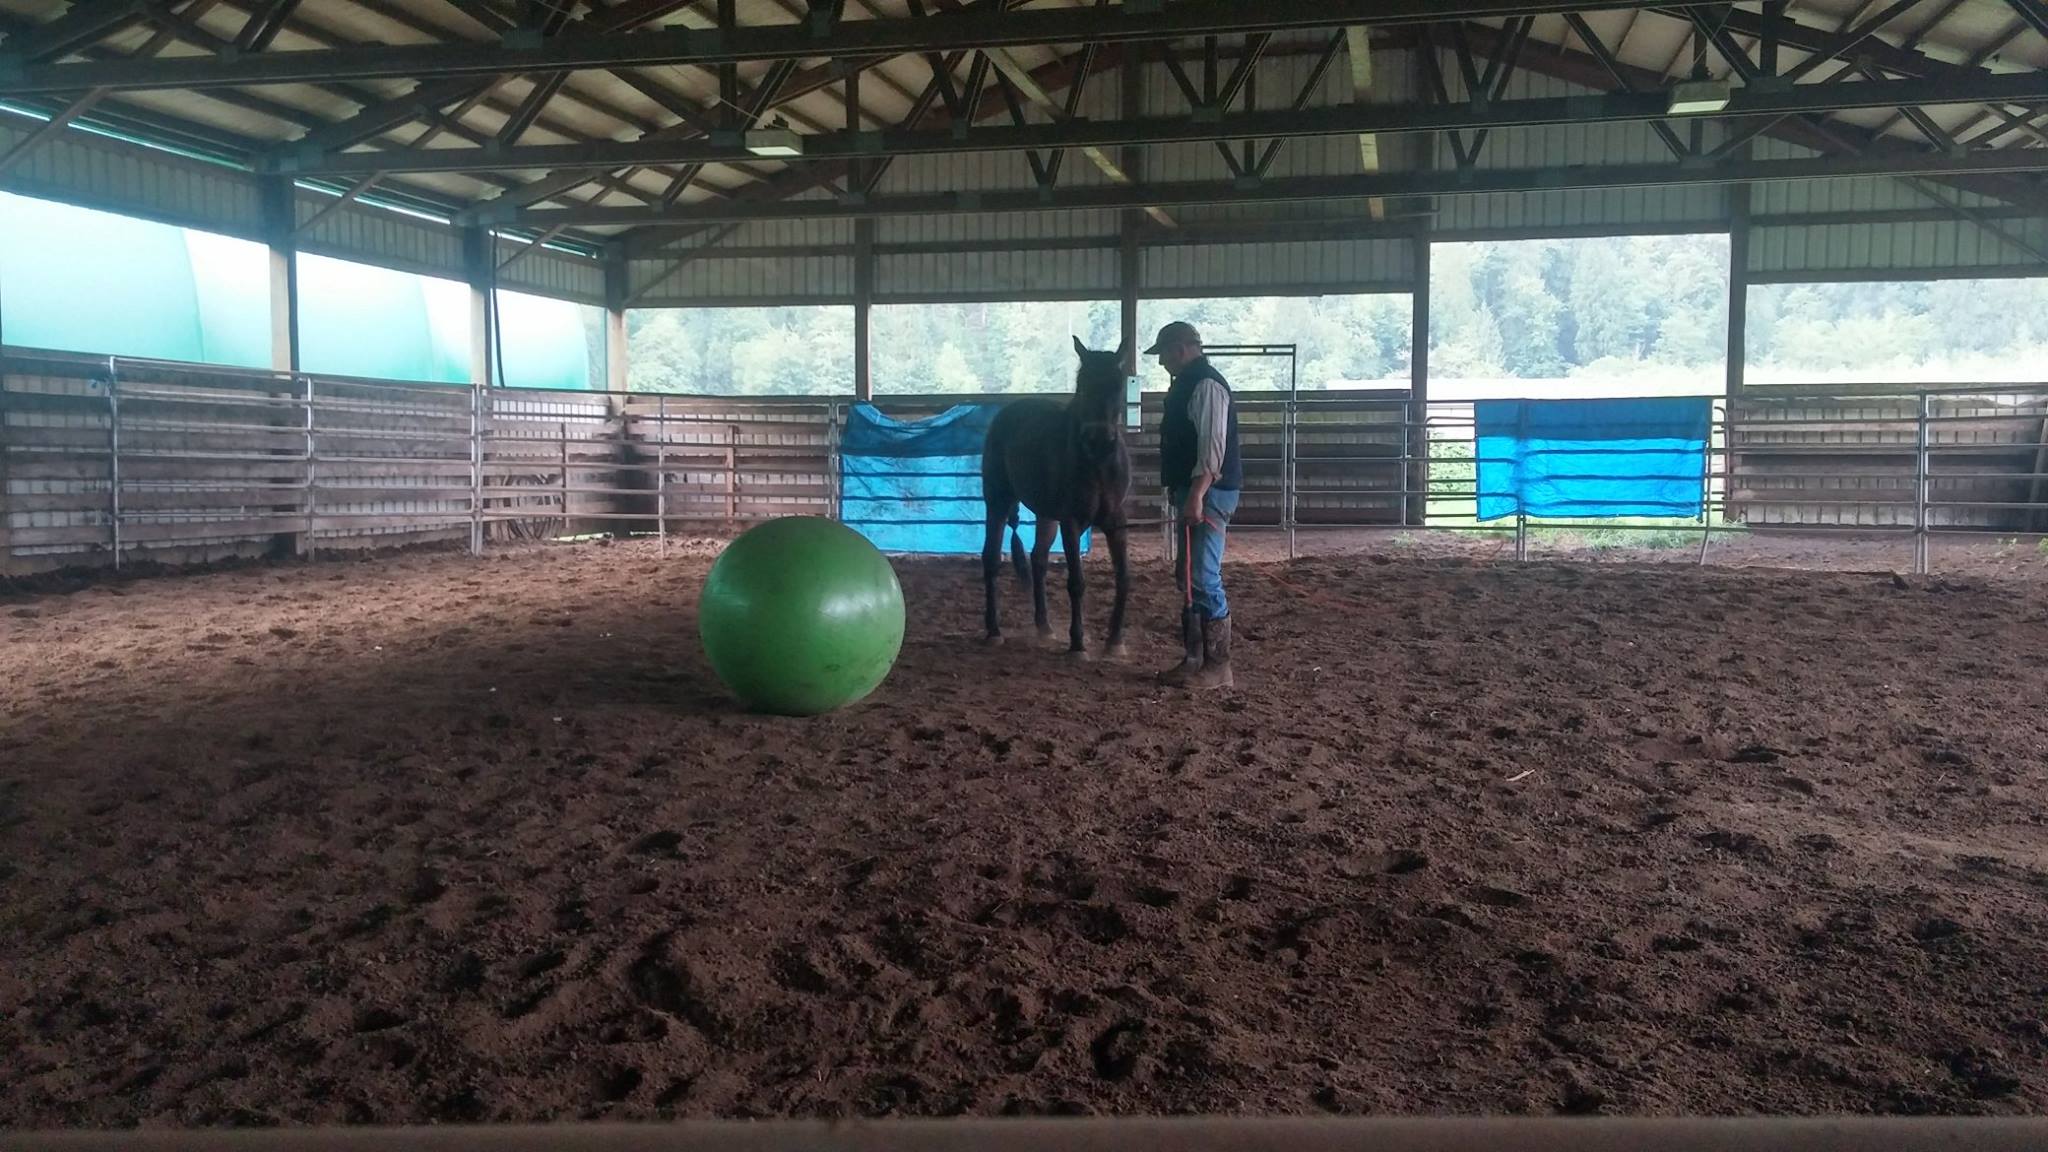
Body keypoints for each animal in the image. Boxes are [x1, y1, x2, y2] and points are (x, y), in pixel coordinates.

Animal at [978, 334, 1138, 655]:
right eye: (1082, 384)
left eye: (1117, 385)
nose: (1098, 440)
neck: (1097, 464)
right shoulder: (1072, 522)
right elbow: (1076, 581)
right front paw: (1077, 643)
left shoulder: (1115, 522)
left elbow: (1124, 578)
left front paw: (1115, 641)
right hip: (998, 502)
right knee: (991, 559)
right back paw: (994, 630)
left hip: (1046, 515)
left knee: (1038, 559)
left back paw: (1044, 627)